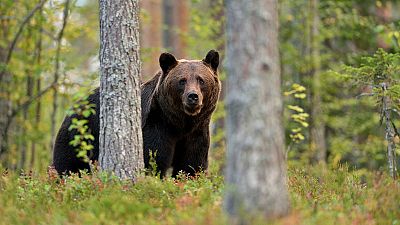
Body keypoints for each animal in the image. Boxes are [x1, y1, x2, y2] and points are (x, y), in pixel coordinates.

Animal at [51, 49, 220, 178]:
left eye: (201, 80)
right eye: (182, 80)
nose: (193, 96)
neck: (180, 122)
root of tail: (75, 106)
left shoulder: (196, 133)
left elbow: (191, 166)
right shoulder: (156, 125)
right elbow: (153, 159)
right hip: (79, 135)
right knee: (69, 165)